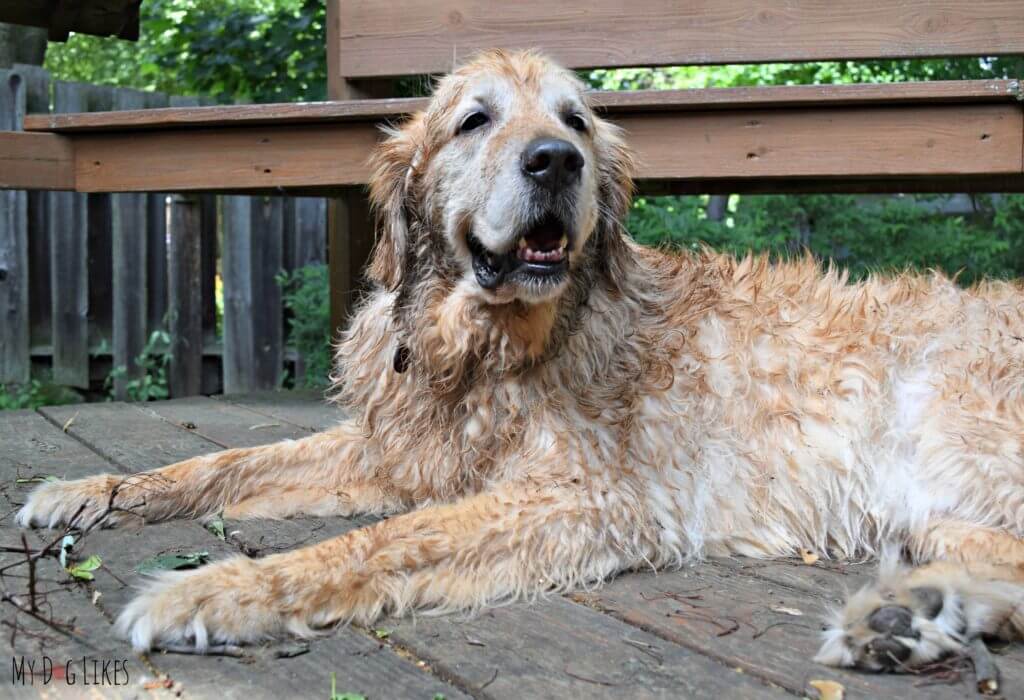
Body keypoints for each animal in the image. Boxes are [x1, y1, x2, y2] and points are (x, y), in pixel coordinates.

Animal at [14, 49, 1024, 671]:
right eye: (474, 120)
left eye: (575, 119)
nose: (555, 160)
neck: (482, 349)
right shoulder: (396, 447)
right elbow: (224, 462)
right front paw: (88, 493)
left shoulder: (590, 499)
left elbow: (381, 541)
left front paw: (217, 590)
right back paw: (915, 614)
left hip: (944, 422)